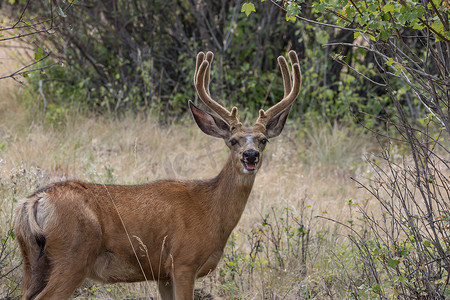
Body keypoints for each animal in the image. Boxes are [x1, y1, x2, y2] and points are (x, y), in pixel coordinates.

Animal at [14, 50, 302, 298]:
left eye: (264, 140)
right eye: (232, 140)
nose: (250, 156)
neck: (212, 211)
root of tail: (35, 201)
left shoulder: (162, 274)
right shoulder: (183, 261)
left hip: (33, 260)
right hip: (73, 254)